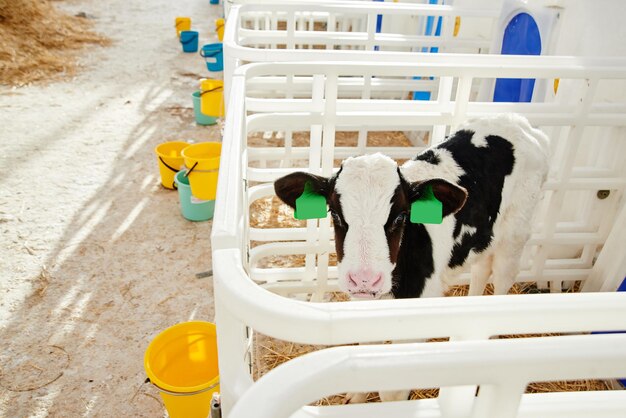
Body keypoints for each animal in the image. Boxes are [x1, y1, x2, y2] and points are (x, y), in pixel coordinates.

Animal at [272, 112, 544, 298]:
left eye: (401, 217)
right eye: (335, 214)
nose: (364, 280)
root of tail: (518, 121)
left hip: (515, 238)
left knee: (502, 277)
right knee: (481, 269)